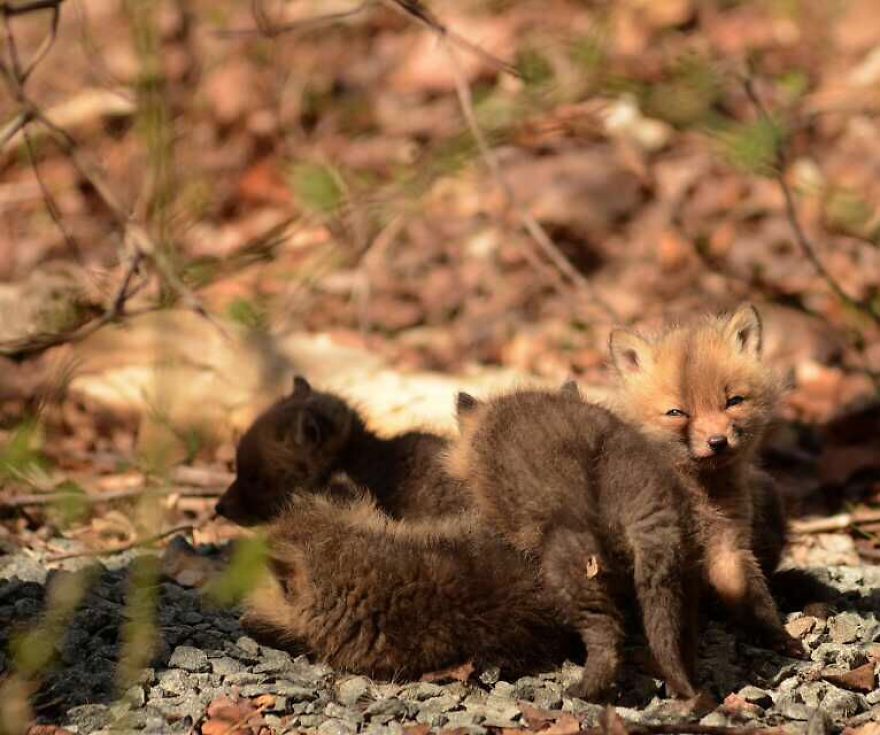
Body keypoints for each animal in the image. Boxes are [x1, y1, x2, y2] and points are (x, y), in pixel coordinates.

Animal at [606, 304, 803, 654]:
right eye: (677, 413)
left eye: (733, 401)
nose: (717, 441)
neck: (697, 495)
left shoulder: (729, 545)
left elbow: (755, 598)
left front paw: (777, 636)